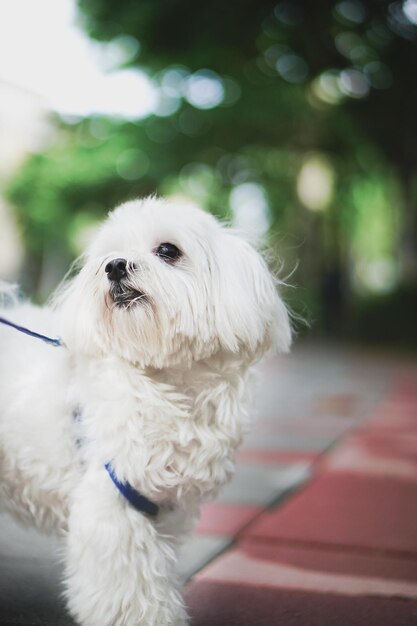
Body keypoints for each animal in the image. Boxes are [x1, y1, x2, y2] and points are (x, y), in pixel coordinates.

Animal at [0, 196, 290, 624]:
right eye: (107, 256)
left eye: (168, 250)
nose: (115, 266)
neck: (166, 383)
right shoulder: (113, 502)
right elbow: (128, 584)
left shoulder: (165, 509)